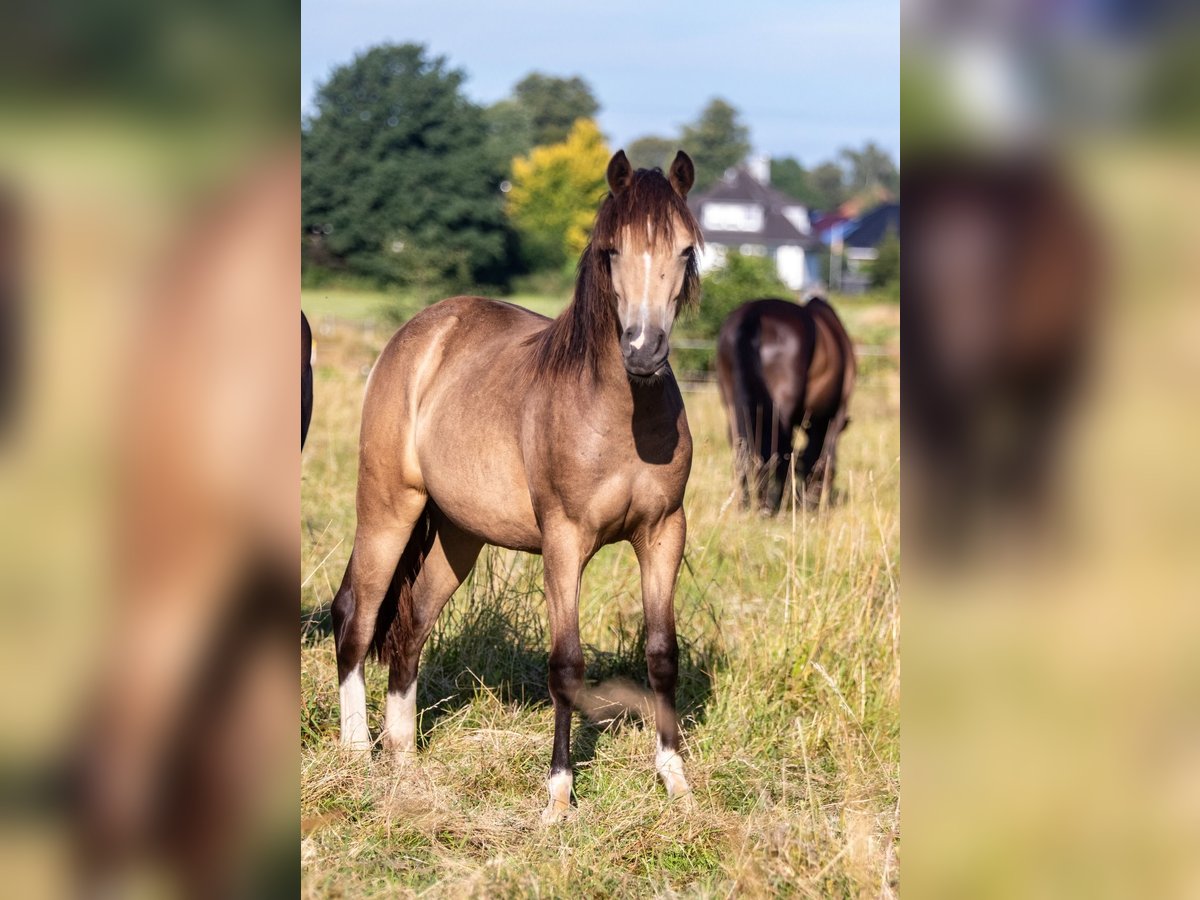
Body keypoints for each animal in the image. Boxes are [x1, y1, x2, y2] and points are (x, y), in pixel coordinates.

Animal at [328, 150, 700, 825]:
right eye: (611, 251)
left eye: (685, 250)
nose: (643, 352)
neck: (618, 415)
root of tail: (418, 334)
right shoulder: (564, 541)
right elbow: (566, 664)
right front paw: (558, 796)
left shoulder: (664, 533)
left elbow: (662, 654)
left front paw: (675, 781)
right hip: (389, 508)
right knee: (357, 616)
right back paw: (356, 756)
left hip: (457, 536)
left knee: (411, 628)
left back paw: (405, 762)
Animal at [710, 297, 854, 513]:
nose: (812, 502)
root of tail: (754, 312)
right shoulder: (834, 417)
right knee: (777, 450)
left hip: (733, 406)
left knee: (742, 451)